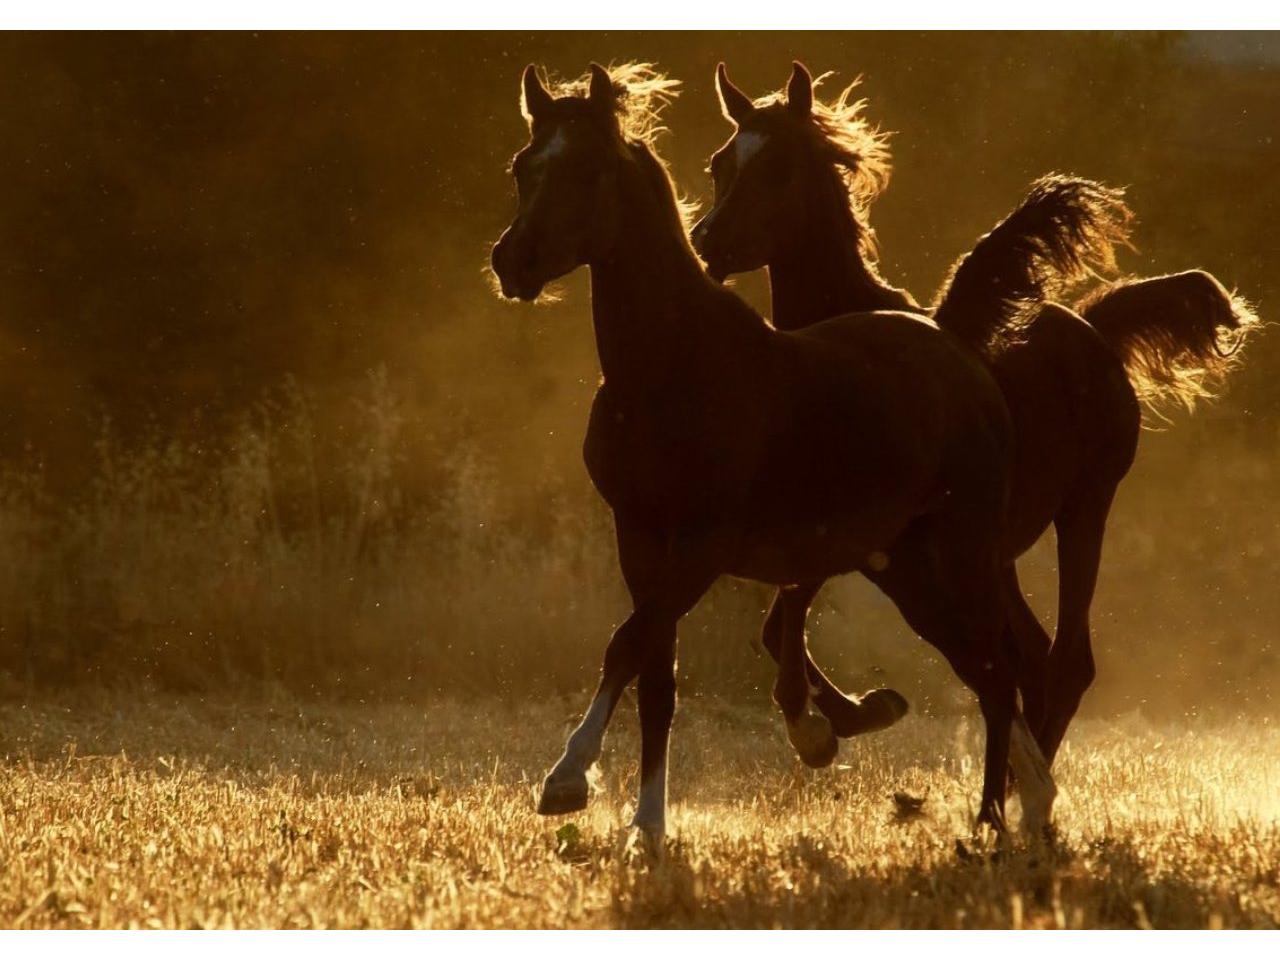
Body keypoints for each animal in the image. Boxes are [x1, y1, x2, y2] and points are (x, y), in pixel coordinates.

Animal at [483, 60, 1064, 844]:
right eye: (525, 166)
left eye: (590, 168)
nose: (512, 262)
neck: (671, 370)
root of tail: (962, 356)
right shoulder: (640, 538)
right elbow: (655, 675)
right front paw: (647, 826)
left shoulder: (705, 543)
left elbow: (627, 645)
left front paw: (567, 779)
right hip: (908, 567)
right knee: (984, 666)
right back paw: (1026, 803)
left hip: (963, 551)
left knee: (999, 670)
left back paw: (991, 825)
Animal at [696, 62, 1254, 768]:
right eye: (720, 162)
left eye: (779, 167)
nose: (706, 242)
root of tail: (1092, 326)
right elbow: (779, 623)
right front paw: (855, 715)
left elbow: (786, 615)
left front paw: (823, 728)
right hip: (995, 556)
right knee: (1032, 660)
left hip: (1083, 510)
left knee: (1065, 662)